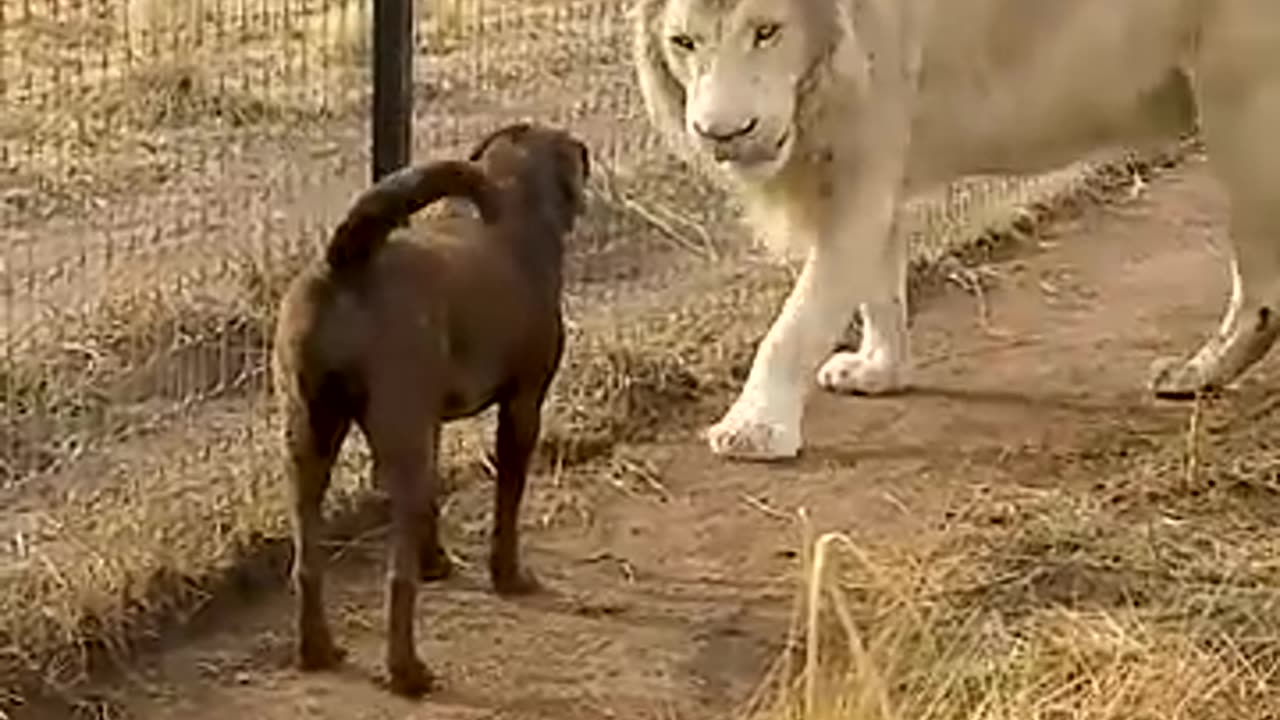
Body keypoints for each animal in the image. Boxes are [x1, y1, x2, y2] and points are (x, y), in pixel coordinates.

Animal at [272, 122, 591, 696]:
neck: (517, 210)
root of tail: (346, 260)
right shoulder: (522, 408)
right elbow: (507, 505)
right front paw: (509, 576)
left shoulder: (432, 426)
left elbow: (434, 505)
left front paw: (437, 561)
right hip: (397, 441)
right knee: (397, 580)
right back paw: (407, 671)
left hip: (307, 437)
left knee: (307, 562)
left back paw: (317, 650)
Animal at [627, 0, 1280, 458]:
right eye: (684, 43)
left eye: (767, 31)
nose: (722, 134)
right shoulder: (873, 171)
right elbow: (880, 290)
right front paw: (880, 372)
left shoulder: (863, 163)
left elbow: (798, 322)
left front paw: (754, 429)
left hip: (1241, 105)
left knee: (1261, 289)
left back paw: (1197, 373)